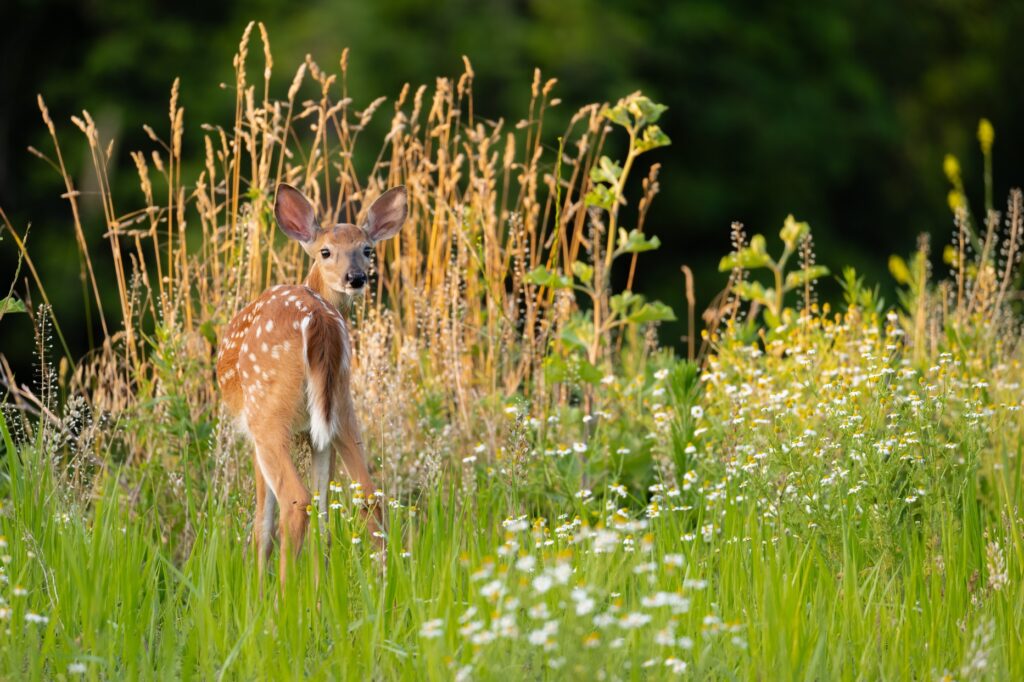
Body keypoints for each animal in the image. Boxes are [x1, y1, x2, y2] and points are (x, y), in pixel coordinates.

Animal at [216, 183, 406, 584]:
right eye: (326, 251)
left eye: (366, 249)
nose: (356, 277)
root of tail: (318, 319)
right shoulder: (319, 434)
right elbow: (325, 514)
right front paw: (319, 586)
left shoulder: (254, 433)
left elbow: (263, 522)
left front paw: (259, 587)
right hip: (343, 405)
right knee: (368, 493)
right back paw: (385, 583)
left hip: (267, 412)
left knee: (295, 499)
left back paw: (283, 595)